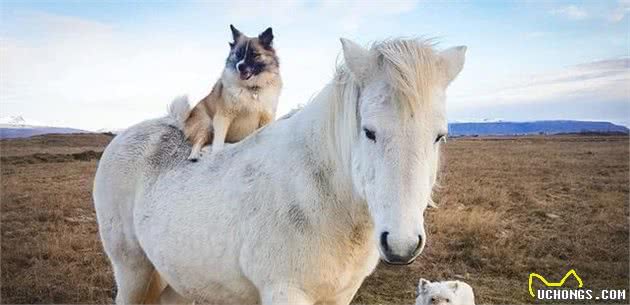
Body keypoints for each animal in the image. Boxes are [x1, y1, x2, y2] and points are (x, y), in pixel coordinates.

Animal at [183, 24, 282, 159]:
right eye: (238, 54)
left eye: (254, 55)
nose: (240, 66)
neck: (252, 89)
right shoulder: (223, 116)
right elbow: (218, 142)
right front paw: (217, 154)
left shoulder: (266, 118)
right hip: (206, 124)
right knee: (198, 142)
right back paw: (195, 155)